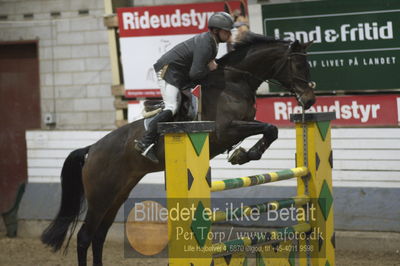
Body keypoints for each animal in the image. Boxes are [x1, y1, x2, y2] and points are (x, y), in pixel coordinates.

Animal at [40, 32, 316, 264]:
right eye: (298, 66)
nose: (310, 100)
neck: (234, 82)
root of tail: (92, 149)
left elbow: (271, 129)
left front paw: (243, 154)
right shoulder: (226, 129)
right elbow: (270, 128)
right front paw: (245, 154)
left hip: (117, 194)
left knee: (99, 235)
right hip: (100, 196)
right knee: (85, 236)